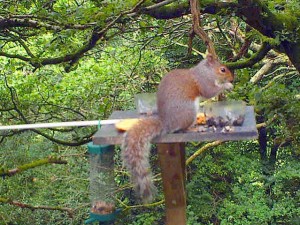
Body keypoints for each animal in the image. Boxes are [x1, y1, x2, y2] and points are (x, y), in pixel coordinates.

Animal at [120, 53, 233, 203]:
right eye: (222, 70)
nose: (232, 78)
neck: (205, 72)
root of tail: (167, 122)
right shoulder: (203, 83)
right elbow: (210, 92)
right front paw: (227, 85)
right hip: (189, 110)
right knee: (183, 129)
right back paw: (195, 128)